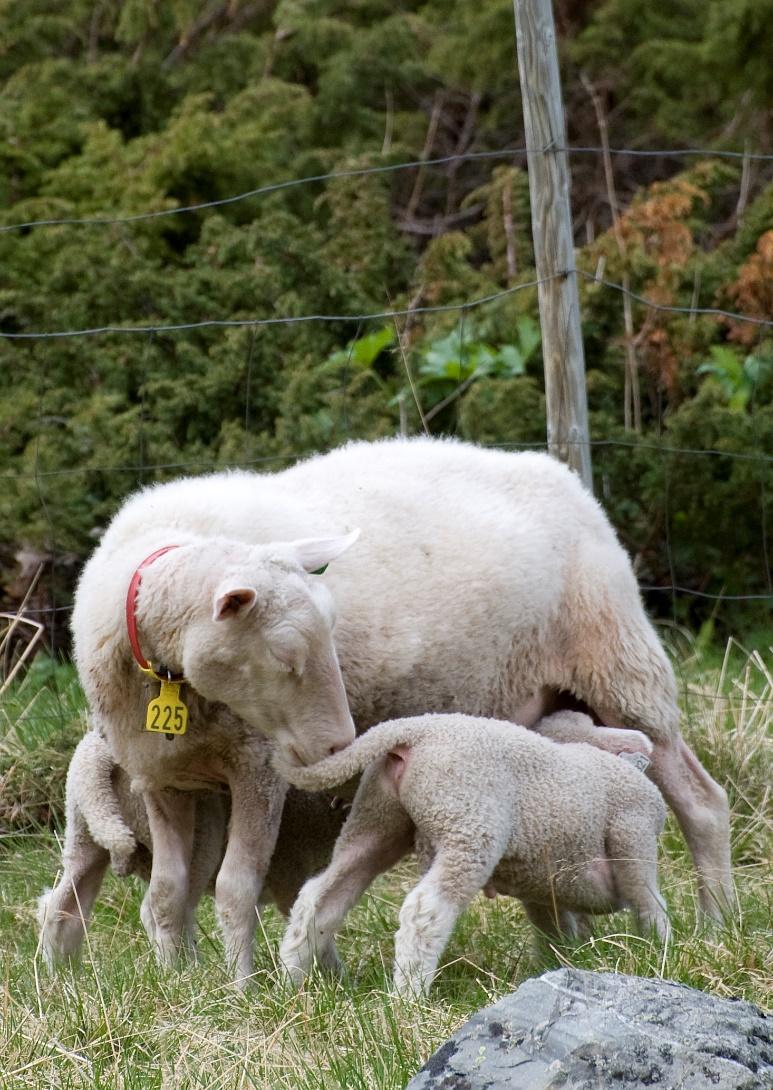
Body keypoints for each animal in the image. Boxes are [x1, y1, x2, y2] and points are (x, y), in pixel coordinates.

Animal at [274, 710, 667, 998]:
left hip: (375, 820)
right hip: (469, 825)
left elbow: (555, 927)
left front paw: (565, 961)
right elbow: (648, 901)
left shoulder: (542, 883)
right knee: (426, 910)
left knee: (318, 898)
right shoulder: (634, 832)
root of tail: (411, 730)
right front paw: (659, 953)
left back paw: (291, 983)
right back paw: (409, 997)